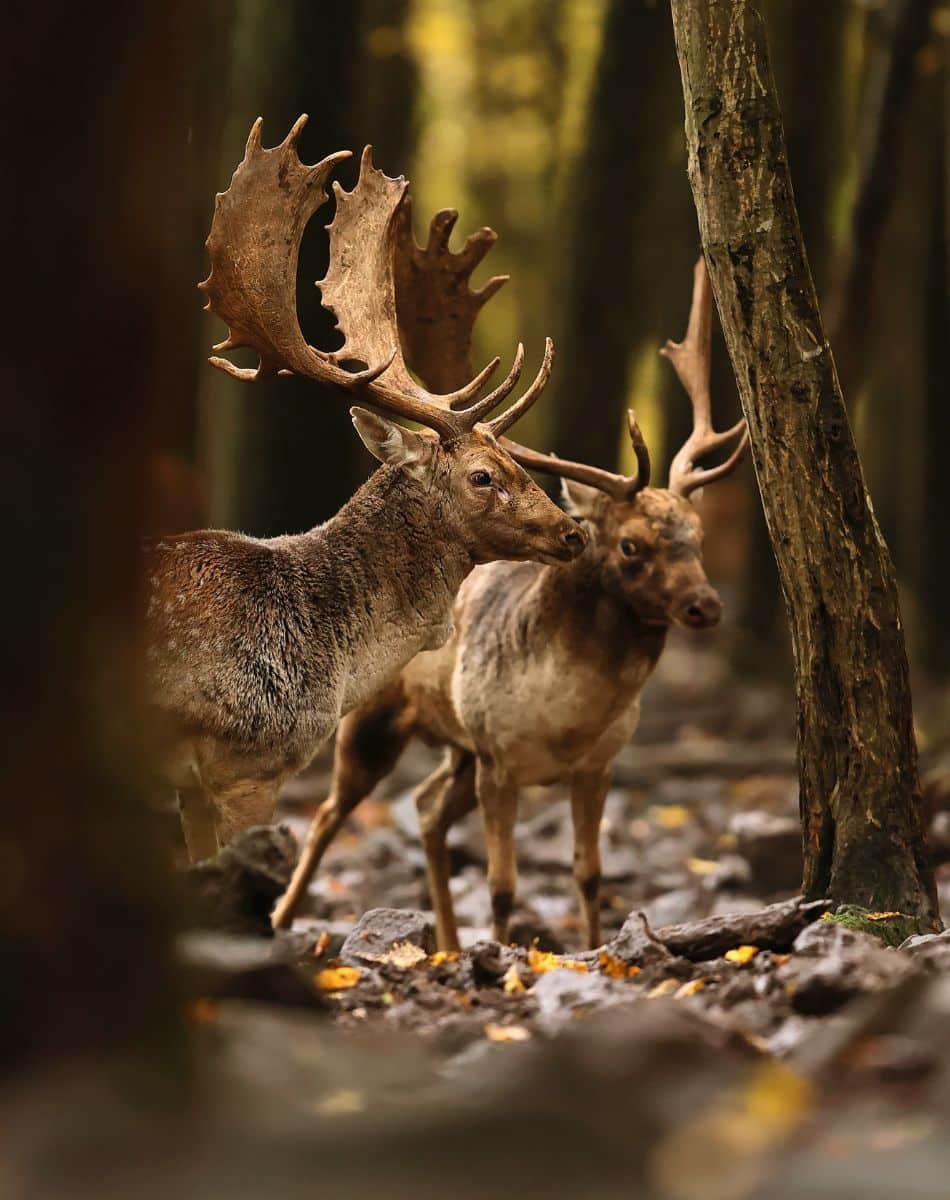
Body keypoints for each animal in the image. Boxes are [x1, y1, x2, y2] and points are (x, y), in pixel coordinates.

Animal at [146, 114, 585, 864]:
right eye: (482, 475)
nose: (572, 531)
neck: (333, 662)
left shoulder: (193, 786)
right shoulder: (244, 761)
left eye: (515, 461)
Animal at [272, 258, 748, 940]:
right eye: (630, 545)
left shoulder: (600, 764)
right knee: (329, 813)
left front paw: (590, 946)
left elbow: (589, 873)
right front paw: (499, 951)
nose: (706, 606)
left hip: (459, 750)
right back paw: (285, 917)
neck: (569, 719)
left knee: (426, 808)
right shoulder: (498, 755)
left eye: (698, 535)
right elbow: (501, 886)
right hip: (375, 721)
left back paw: (445, 944)